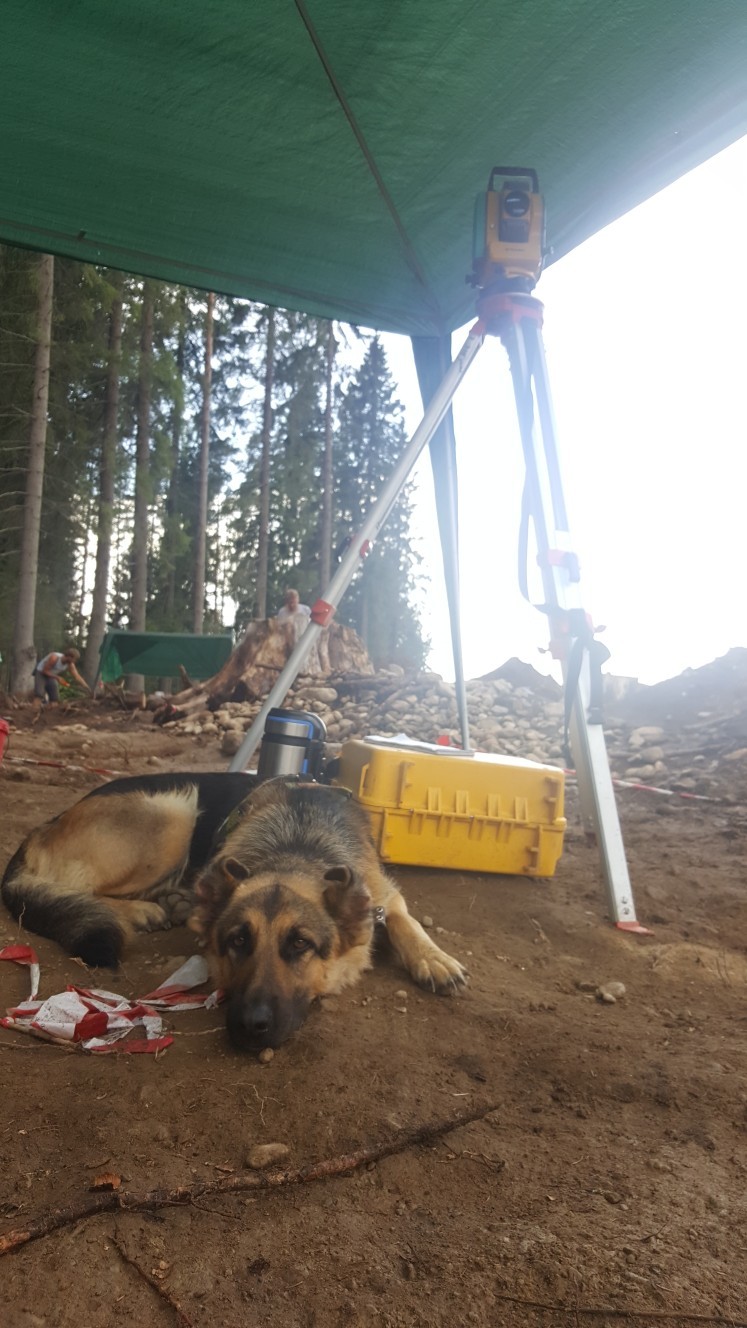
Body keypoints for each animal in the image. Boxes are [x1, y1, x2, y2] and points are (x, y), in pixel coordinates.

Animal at [1, 770, 465, 1046]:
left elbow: (404, 918)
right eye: (237, 942)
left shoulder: (383, 894)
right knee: (74, 887)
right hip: (174, 811)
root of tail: (40, 831)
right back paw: (144, 910)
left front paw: (434, 957)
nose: (249, 1026)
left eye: (301, 946)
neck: (297, 844)